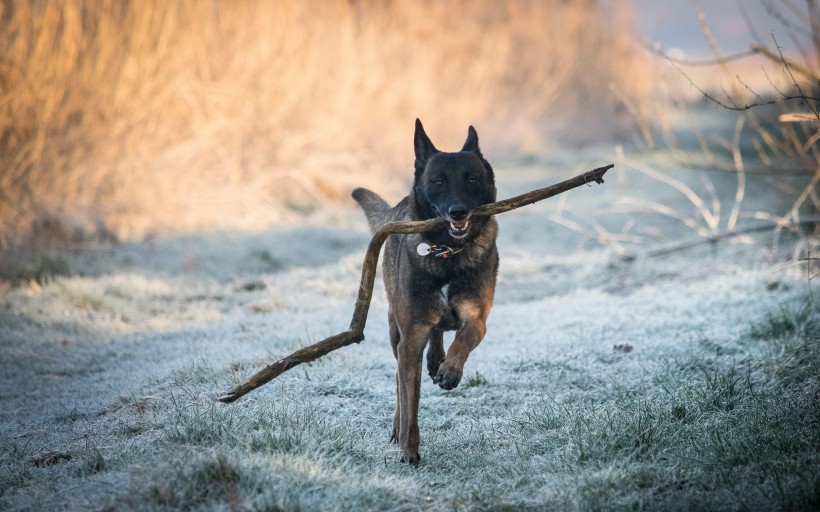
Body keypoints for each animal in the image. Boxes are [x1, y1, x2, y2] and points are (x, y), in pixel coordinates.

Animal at [350, 120, 496, 464]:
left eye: (472, 179)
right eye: (438, 181)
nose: (458, 212)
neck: (448, 251)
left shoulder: (477, 318)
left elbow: (464, 338)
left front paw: (450, 370)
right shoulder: (411, 338)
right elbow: (410, 400)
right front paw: (408, 450)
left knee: (441, 331)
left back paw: (438, 360)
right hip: (396, 331)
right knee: (399, 384)